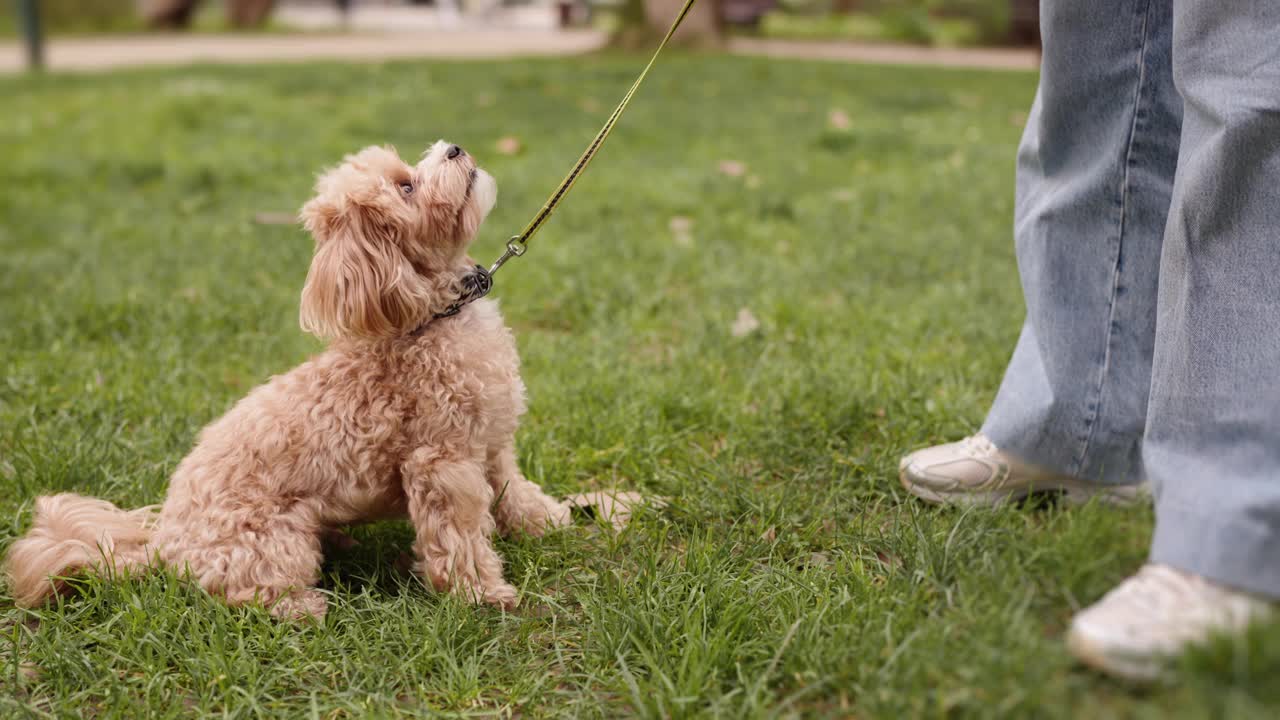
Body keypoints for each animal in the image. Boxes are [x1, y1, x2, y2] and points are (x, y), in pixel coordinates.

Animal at [0, 141, 570, 617]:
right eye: (406, 185)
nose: (453, 148)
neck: (433, 318)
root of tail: (163, 545)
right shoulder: (442, 462)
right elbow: (460, 537)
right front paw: (482, 594)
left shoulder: (490, 442)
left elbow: (513, 489)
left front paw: (549, 520)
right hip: (275, 541)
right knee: (248, 592)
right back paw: (304, 607)